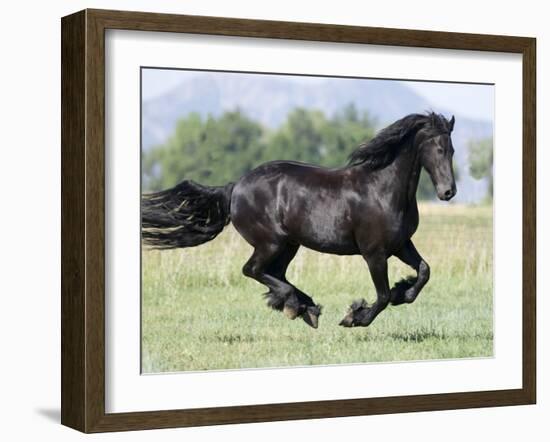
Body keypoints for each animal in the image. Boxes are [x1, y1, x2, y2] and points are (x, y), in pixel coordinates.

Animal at [141, 113, 458, 328]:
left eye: (452, 150)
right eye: (438, 149)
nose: (448, 192)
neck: (382, 189)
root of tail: (235, 186)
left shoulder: (401, 244)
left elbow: (424, 271)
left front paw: (402, 291)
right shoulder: (374, 253)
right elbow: (380, 296)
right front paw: (354, 316)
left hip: (288, 245)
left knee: (274, 274)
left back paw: (303, 307)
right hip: (270, 242)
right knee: (253, 270)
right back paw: (299, 306)